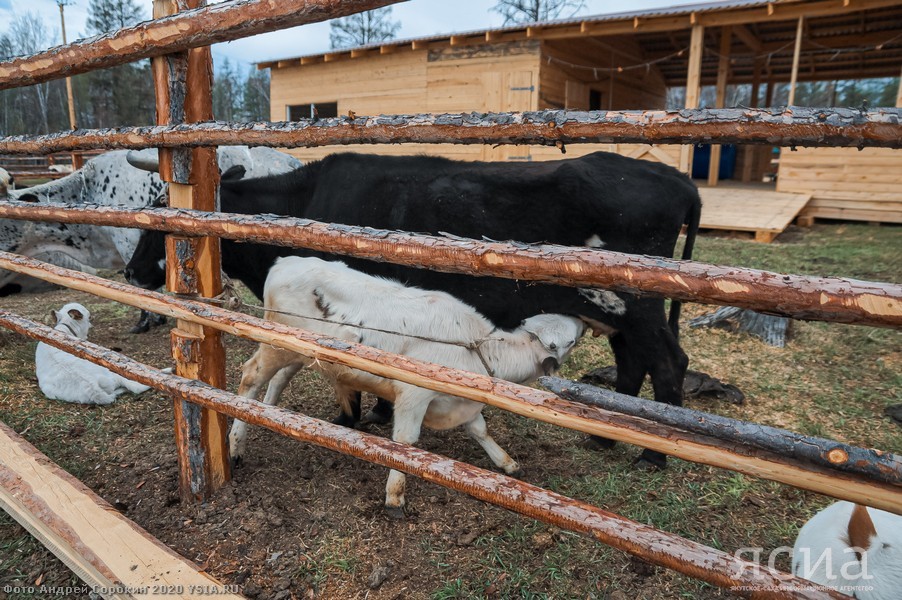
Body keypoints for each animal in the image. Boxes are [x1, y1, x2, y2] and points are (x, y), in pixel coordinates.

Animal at [34, 302, 170, 406]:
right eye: (88, 317)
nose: (91, 325)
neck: (65, 331)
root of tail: (91, 387)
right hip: (112, 372)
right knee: (135, 387)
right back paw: (165, 371)